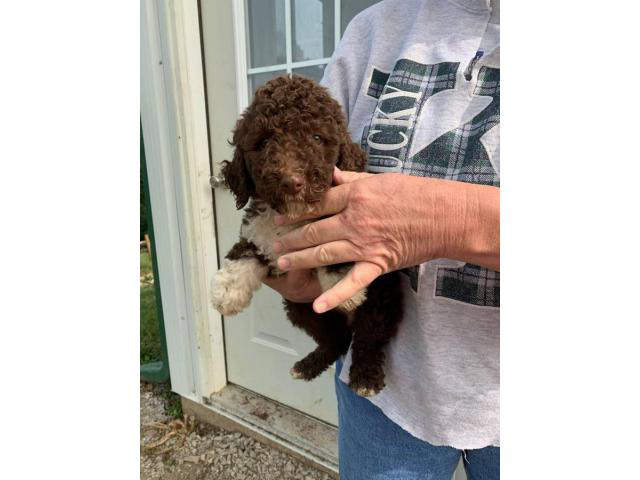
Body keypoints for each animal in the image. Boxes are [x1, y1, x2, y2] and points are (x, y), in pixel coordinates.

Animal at [210, 76, 402, 398]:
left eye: (316, 137)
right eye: (263, 142)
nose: (292, 182)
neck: (293, 217)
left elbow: (336, 255)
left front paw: (343, 289)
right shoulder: (257, 235)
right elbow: (243, 252)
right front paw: (227, 291)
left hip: (380, 299)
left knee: (368, 338)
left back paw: (365, 377)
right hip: (303, 309)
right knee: (337, 339)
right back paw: (307, 366)